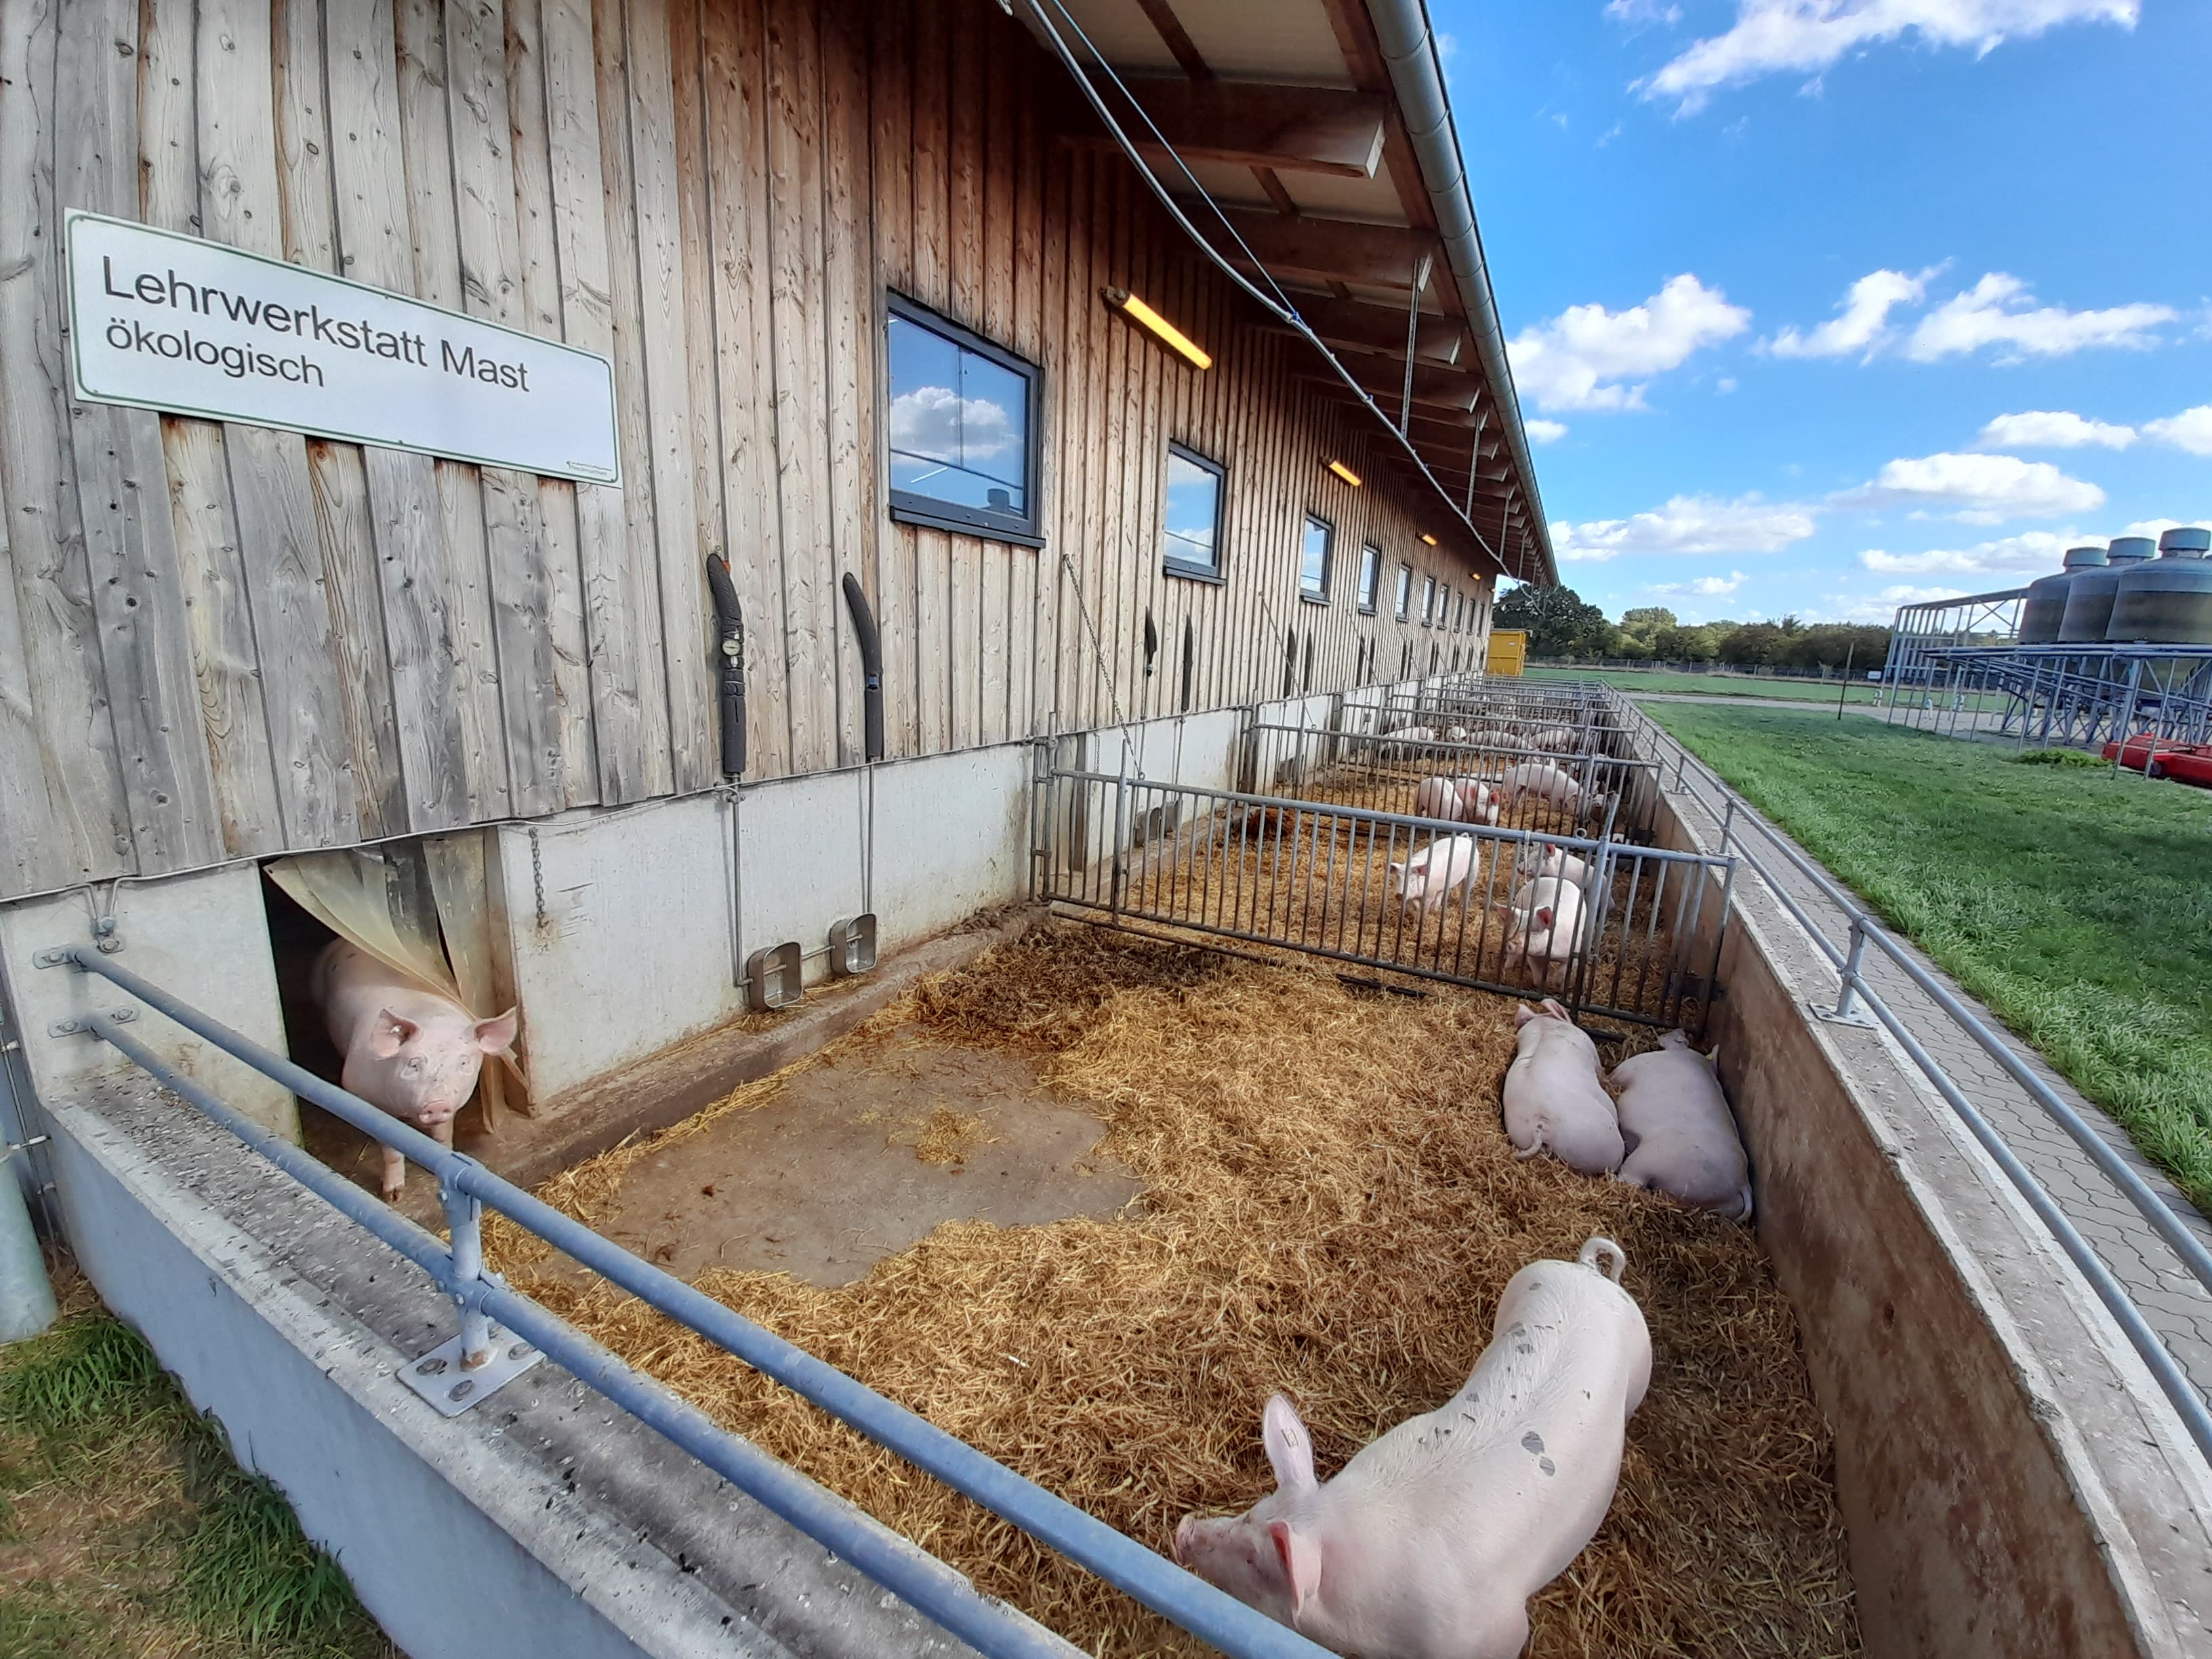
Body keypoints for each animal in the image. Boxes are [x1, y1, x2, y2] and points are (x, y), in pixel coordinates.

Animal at [314, 942, 520, 1203]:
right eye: (414, 1064)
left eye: (463, 1063)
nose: (437, 1104)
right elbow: (392, 1149)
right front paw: (393, 1196)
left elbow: (443, 1134)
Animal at [1185, 1238, 1654, 1654]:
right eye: (1252, 1511)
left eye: (1255, 1560)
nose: (1183, 1529)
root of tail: (1591, 1272)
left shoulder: (1499, 1633)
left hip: (1640, 1365)